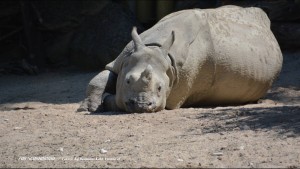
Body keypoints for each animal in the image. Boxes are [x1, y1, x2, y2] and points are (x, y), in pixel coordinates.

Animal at [78, 5, 284, 113]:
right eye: (128, 80)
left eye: (160, 88)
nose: (141, 105)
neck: (155, 48)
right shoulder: (123, 58)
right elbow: (101, 77)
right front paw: (88, 108)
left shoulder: (178, 90)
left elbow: (117, 100)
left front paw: (107, 101)